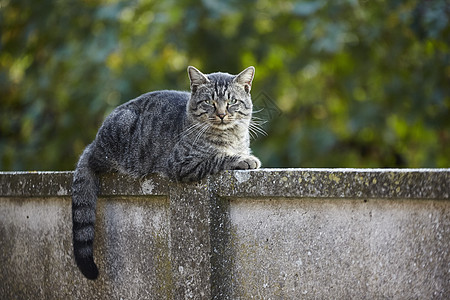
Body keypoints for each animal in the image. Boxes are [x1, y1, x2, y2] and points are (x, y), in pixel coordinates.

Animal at [71, 65, 262, 278]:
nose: (221, 114)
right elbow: (218, 157)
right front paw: (244, 159)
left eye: (232, 102)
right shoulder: (182, 164)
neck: (230, 137)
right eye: (208, 102)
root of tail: (93, 143)